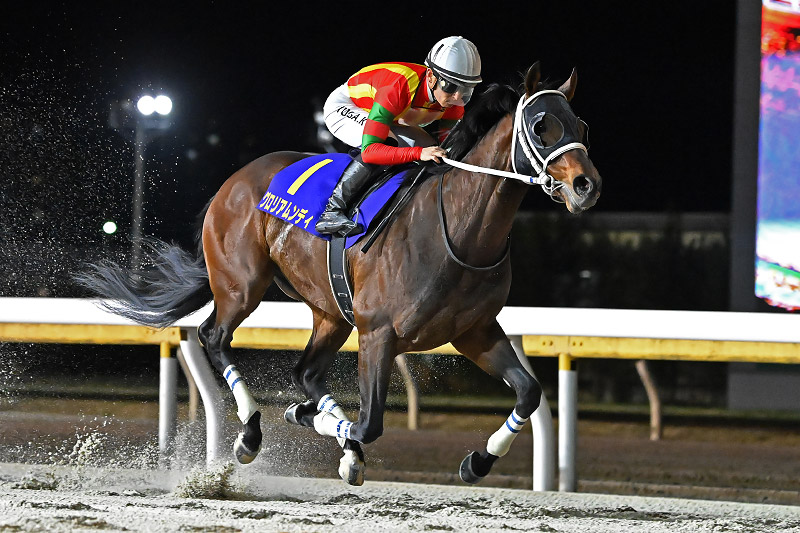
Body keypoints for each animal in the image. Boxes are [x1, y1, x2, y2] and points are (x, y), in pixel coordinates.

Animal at [78, 62, 601, 486]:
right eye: (541, 125)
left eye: (581, 124)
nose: (586, 186)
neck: (458, 229)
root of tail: (233, 182)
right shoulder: (379, 333)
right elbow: (369, 422)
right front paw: (323, 431)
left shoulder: (474, 330)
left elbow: (529, 393)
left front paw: (477, 462)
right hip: (242, 285)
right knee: (214, 336)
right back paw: (251, 433)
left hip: (330, 310)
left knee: (306, 371)